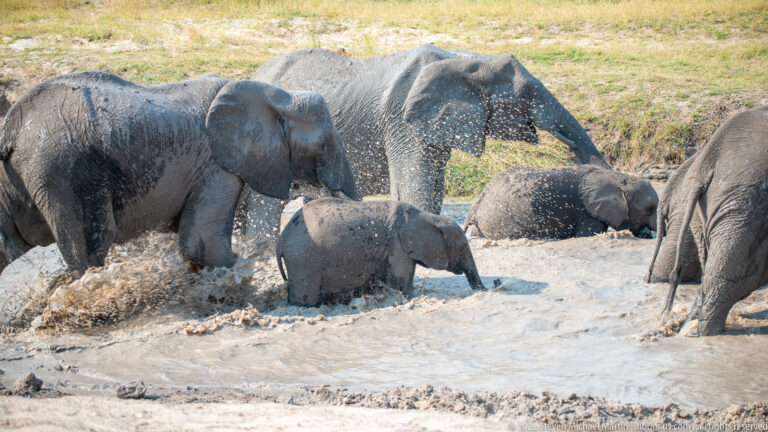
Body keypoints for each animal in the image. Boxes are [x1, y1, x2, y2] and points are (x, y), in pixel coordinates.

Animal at [0, 71, 359, 276]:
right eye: (324, 144)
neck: (274, 93)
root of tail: (13, 126)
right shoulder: (216, 164)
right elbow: (201, 242)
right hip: (65, 170)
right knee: (89, 248)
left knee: (7, 245)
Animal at [276, 197, 486, 307]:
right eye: (463, 246)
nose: (486, 290)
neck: (427, 217)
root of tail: (284, 236)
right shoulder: (397, 247)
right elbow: (400, 284)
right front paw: (408, 298)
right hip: (303, 259)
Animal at [463, 165, 658, 240]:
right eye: (649, 209)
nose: (649, 233)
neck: (618, 177)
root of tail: (477, 204)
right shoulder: (586, 214)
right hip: (501, 220)